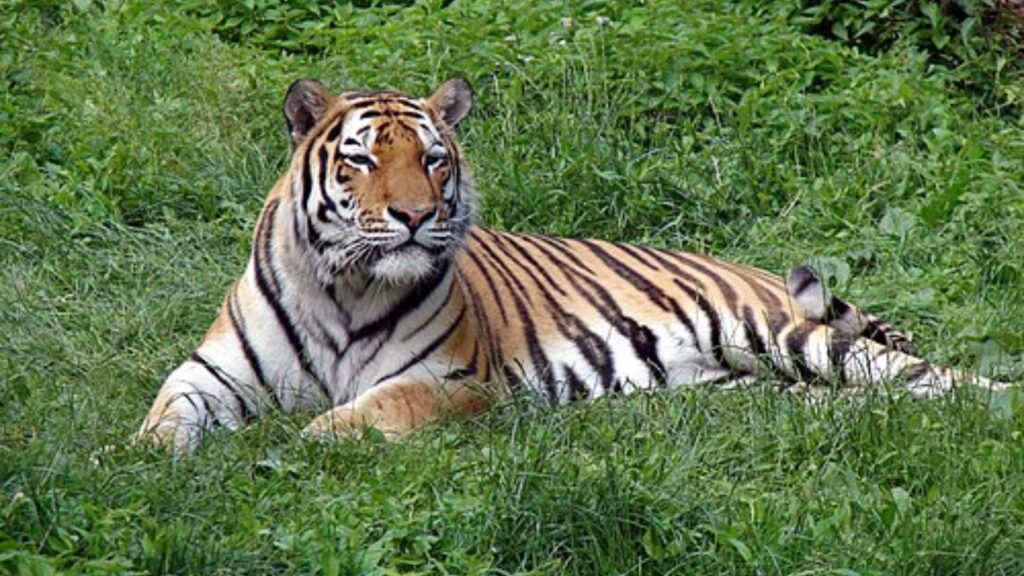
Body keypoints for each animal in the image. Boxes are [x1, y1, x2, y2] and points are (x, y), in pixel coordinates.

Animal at [136, 77, 1010, 453]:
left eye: (432, 160)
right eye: (361, 159)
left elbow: (367, 411)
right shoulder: (210, 372)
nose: (416, 216)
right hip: (755, 392)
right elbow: (166, 414)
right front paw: (140, 458)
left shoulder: (451, 379)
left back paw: (1000, 405)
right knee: (863, 402)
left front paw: (306, 438)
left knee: (940, 379)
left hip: (799, 336)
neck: (345, 287)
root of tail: (751, 269)